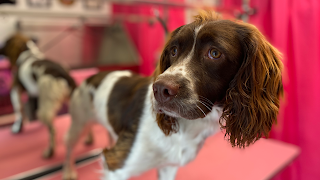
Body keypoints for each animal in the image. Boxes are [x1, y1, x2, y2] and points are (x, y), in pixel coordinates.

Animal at [62, 11, 282, 180]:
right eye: (174, 50)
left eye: (214, 53)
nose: (159, 90)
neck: (187, 129)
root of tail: (93, 75)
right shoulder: (116, 165)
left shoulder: (168, 166)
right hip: (78, 121)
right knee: (69, 146)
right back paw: (69, 170)